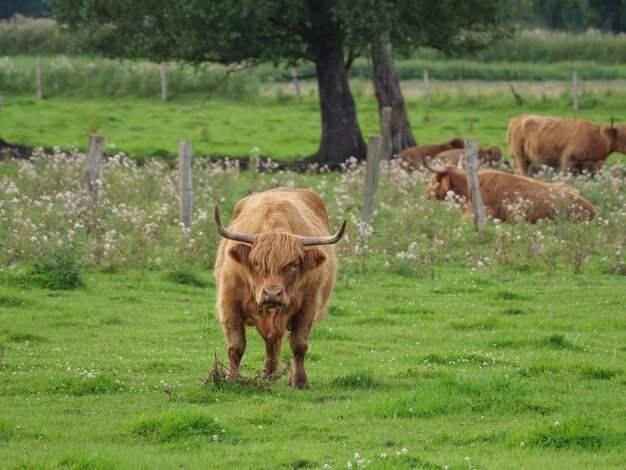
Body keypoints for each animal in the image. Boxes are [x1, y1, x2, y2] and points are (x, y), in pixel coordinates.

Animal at [212, 187, 344, 390]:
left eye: (294, 264)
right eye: (256, 263)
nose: (273, 293)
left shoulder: (308, 306)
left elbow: (299, 345)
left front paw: (300, 381)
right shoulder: (229, 304)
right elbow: (236, 346)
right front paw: (231, 379)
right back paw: (268, 374)